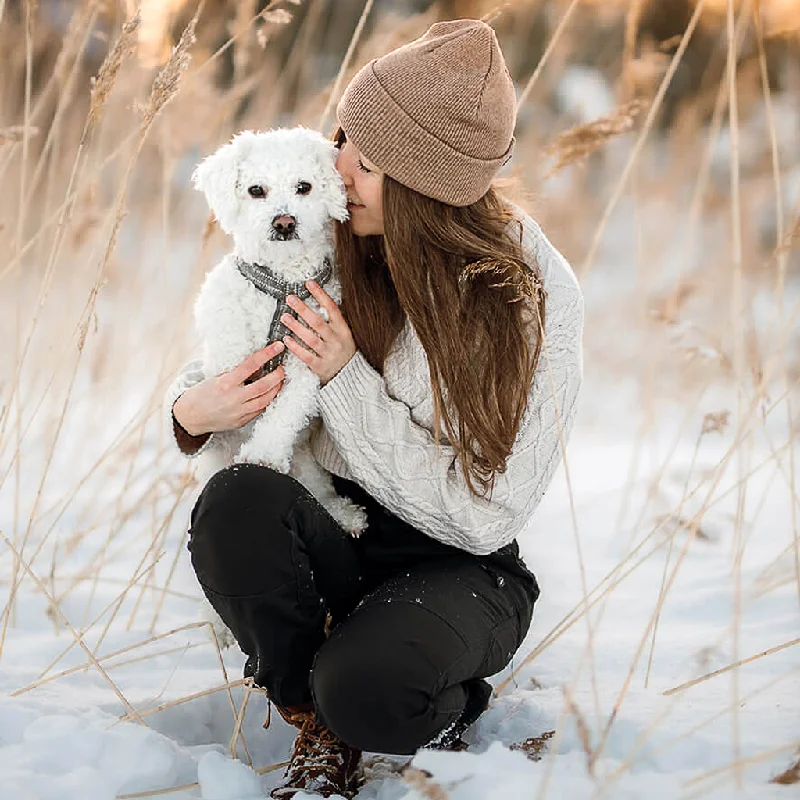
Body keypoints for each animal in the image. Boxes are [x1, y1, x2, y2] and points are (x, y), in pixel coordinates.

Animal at [194, 128, 368, 536]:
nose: (284, 222)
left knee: (316, 487)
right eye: (256, 190)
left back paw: (342, 513)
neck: (282, 287)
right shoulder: (230, 364)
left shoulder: (309, 362)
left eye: (304, 186)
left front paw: (263, 455)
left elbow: (283, 413)